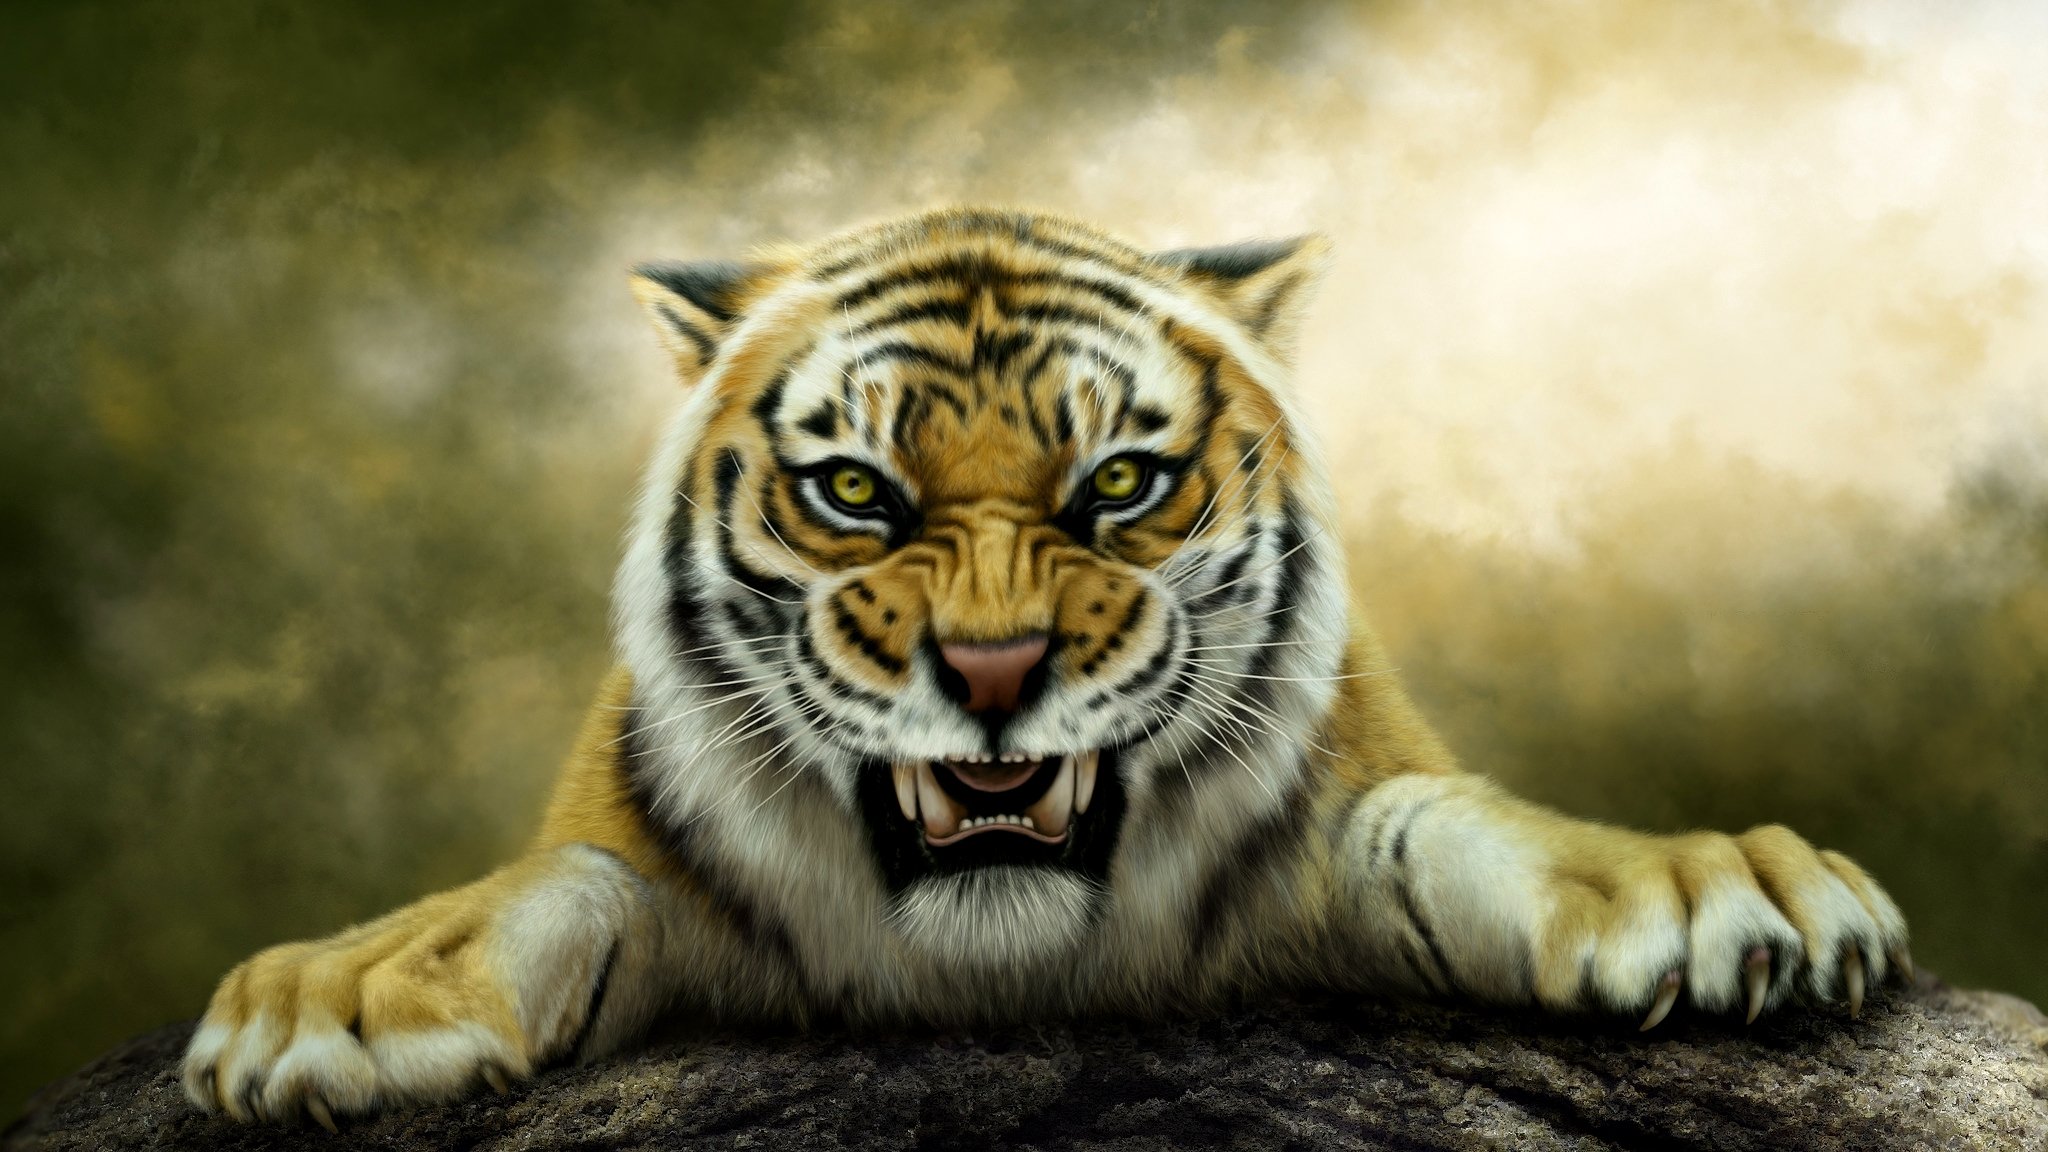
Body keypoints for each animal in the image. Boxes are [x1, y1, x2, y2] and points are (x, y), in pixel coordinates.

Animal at [181, 207, 1911, 1130]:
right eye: (856, 491)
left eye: (1122, 485)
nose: (996, 667)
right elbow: (567, 875)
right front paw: (336, 995)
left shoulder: (1345, 816)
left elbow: (1458, 824)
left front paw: (1709, 890)